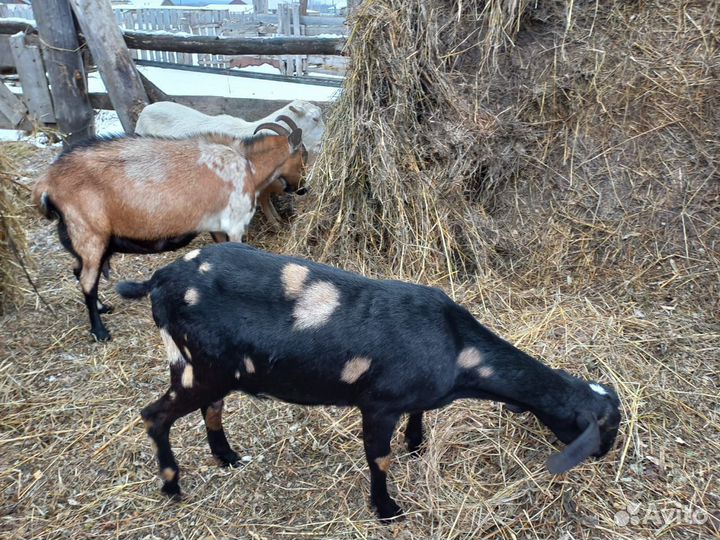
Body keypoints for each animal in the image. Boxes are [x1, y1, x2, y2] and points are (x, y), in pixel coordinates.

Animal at [33, 131, 307, 342]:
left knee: (79, 271)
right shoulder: (235, 225)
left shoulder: (217, 226)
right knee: (88, 281)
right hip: (89, 233)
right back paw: (100, 332)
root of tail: (47, 183)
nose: (303, 188)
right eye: (302, 156)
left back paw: (103, 307)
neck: (249, 165)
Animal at [117, 243, 622, 522]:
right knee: (155, 415)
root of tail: (159, 278)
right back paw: (172, 485)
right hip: (199, 366)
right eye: (605, 426)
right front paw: (386, 510)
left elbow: (417, 417)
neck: (458, 350)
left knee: (212, 407)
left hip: (209, 368)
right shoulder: (378, 404)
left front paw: (416, 444)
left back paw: (227, 457)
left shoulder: (410, 395)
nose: (605, 455)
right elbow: (379, 458)